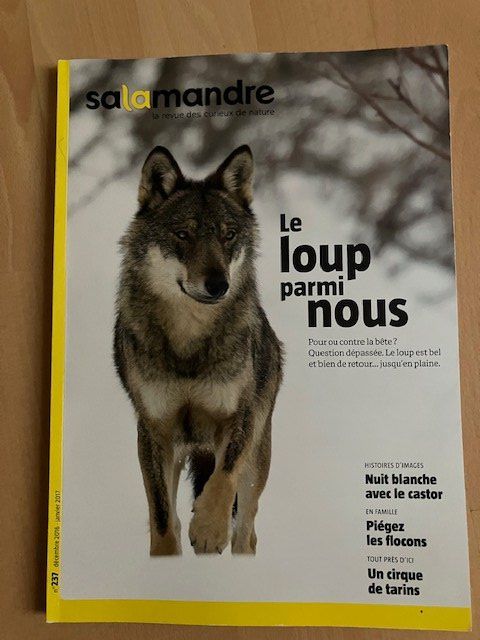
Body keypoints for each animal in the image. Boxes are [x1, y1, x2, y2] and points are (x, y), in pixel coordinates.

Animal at [114, 145, 282, 555]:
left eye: (229, 235)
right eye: (183, 234)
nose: (218, 285)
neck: (189, 341)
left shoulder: (240, 417)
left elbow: (223, 475)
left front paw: (208, 530)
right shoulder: (153, 430)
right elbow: (162, 516)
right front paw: (165, 559)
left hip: (258, 461)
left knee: (247, 530)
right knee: (173, 515)